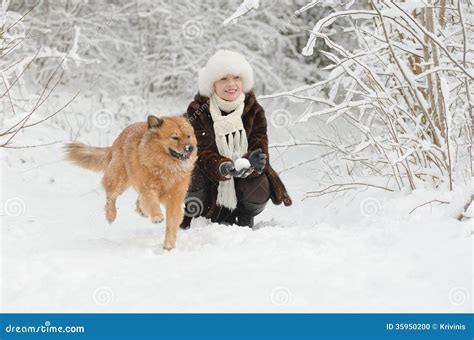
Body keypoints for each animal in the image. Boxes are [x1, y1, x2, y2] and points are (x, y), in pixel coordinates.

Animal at [64, 114, 197, 250]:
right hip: (120, 180)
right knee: (110, 196)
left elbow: (172, 222)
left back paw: (140, 210)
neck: (167, 168)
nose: (190, 148)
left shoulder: (175, 198)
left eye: (188, 136)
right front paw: (157, 216)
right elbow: (152, 203)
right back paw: (111, 214)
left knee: (135, 201)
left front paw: (169, 245)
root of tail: (118, 139)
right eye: (175, 137)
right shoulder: (148, 189)